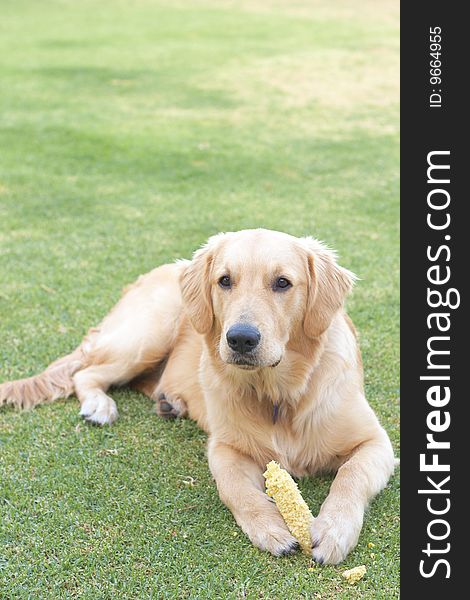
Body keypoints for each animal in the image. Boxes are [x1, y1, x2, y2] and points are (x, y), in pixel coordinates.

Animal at [0, 229, 396, 564]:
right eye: (225, 280)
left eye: (283, 282)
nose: (240, 338)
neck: (277, 395)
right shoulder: (225, 447)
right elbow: (234, 488)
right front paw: (271, 528)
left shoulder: (376, 442)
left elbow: (351, 475)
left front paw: (333, 530)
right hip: (147, 334)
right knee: (86, 372)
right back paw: (100, 405)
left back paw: (168, 402)